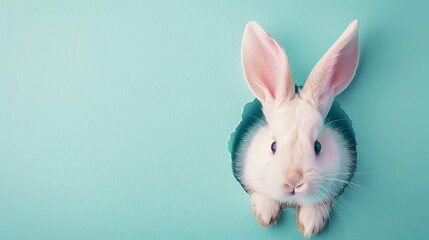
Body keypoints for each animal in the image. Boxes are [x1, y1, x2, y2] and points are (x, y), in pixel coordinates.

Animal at [231, 20, 358, 236]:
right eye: (273, 146)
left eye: (318, 146)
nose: (294, 182)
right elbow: (263, 194)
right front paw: (265, 215)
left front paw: (310, 224)